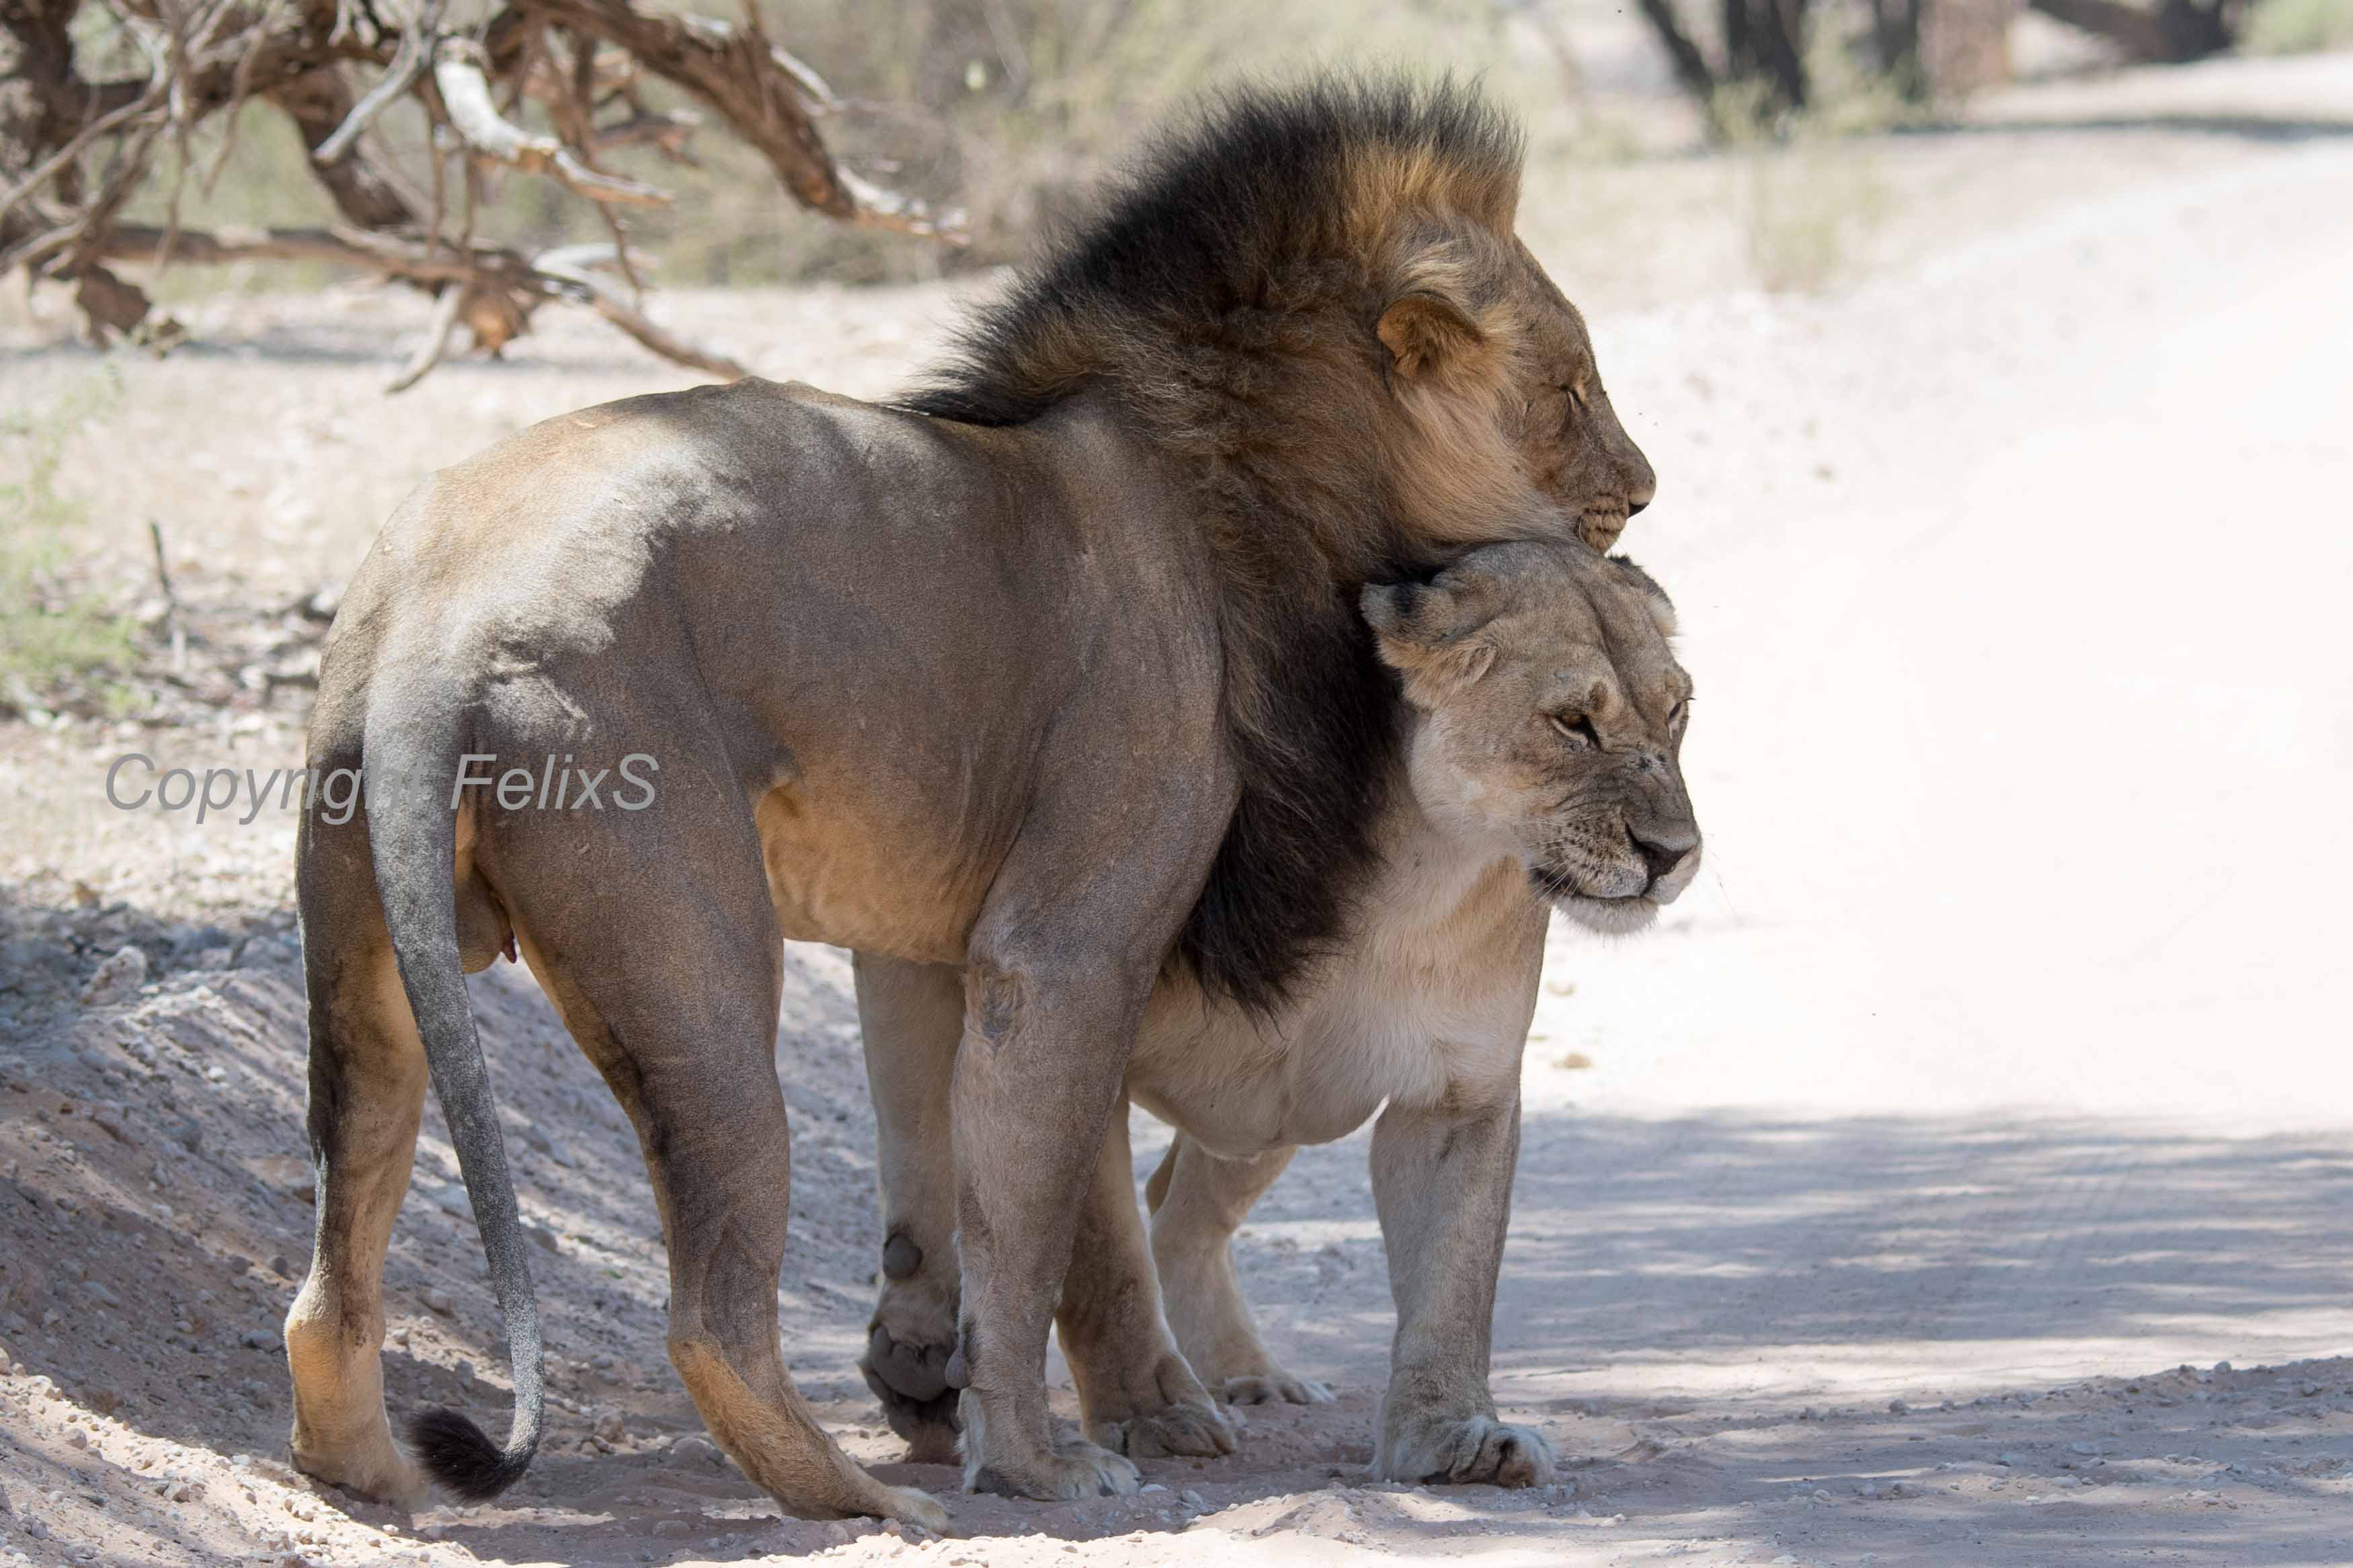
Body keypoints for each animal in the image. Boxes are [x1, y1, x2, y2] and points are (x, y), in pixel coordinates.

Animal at [861, 540, 1694, 1485]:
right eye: (1571, 721)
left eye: (1675, 711)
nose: (1673, 854)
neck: (1415, 881)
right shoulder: (1084, 1008)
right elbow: (1094, 1253)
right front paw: (1145, 1416)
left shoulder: (1460, 1094)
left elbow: (1454, 1274)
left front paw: (1455, 1436)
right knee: (927, 1135)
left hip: (1277, 1113)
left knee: (1178, 1209)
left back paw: (1245, 1374)